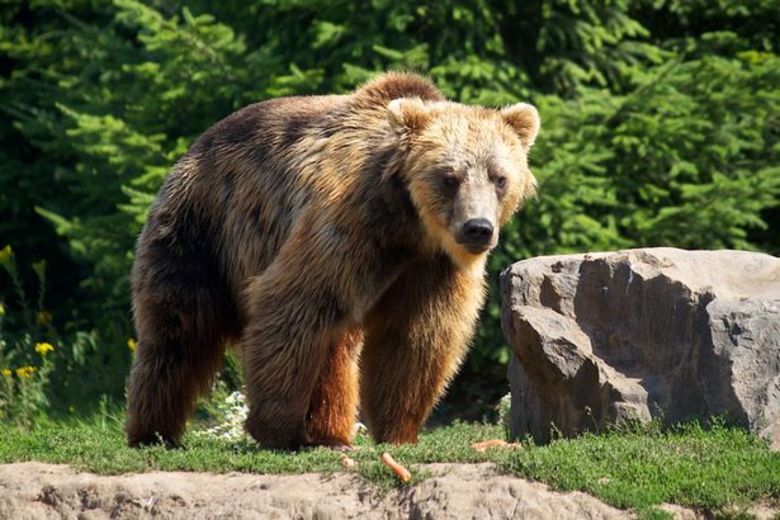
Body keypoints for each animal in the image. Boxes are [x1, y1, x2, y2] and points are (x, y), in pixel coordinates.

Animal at [128, 71, 540, 448]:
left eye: (499, 177)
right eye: (449, 177)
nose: (478, 228)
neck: (408, 225)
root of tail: (194, 146)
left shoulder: (431, 267)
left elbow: (415, 338)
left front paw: (398, 430)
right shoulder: (348, 222)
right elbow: (295, 302)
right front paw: (276, 428)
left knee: (334, 348)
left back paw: (330, 433)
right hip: (201, 232)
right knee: (179, 331)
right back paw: (154, 431)